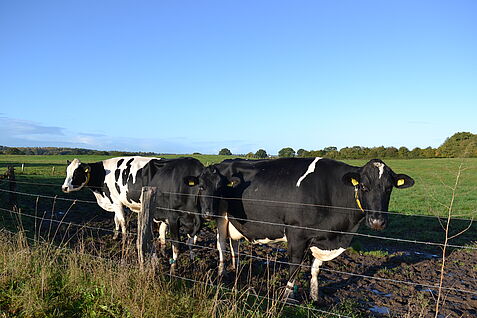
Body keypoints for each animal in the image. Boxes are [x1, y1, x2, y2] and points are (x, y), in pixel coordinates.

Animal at [62, 157, 204, 264]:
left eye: (77, 173)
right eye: (67, 172)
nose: (64, 188)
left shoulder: (117, 201)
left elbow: (123, 222)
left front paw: (124, 240)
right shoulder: (115, 202)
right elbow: (116, 220)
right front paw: (115, 235)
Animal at [193, 158, 412, 302]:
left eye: (389, 188)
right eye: (364, 186)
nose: (377, 221)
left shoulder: (322, 238)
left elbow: (315, 268)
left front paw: (314, 297)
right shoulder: (296, 234)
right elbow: (295, 267)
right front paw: (288, 297)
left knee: (234, 245)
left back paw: (237, 272)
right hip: (219, 216)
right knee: (221, 245)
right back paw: (222, 275)